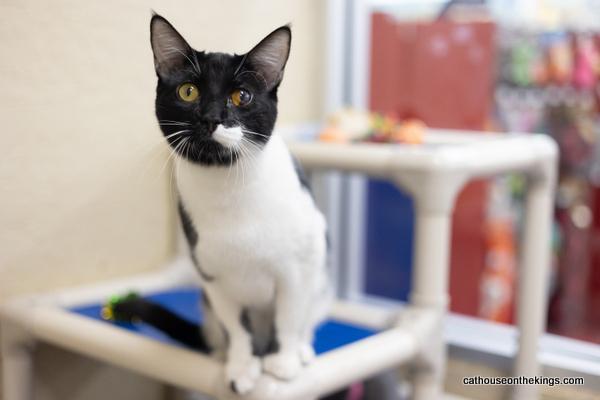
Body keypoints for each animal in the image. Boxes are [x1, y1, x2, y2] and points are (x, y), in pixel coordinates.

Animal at [148, 14, 332, 396]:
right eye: (188, 91)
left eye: (241, 96)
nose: (210, 117)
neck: (228, 186)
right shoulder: (213, 278)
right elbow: (236, 327)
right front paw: (242, 366)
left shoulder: (301, 264)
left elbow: (289, 315)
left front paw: (283, 362)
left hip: (321, 279)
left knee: (308, 316)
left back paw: (301, 350)